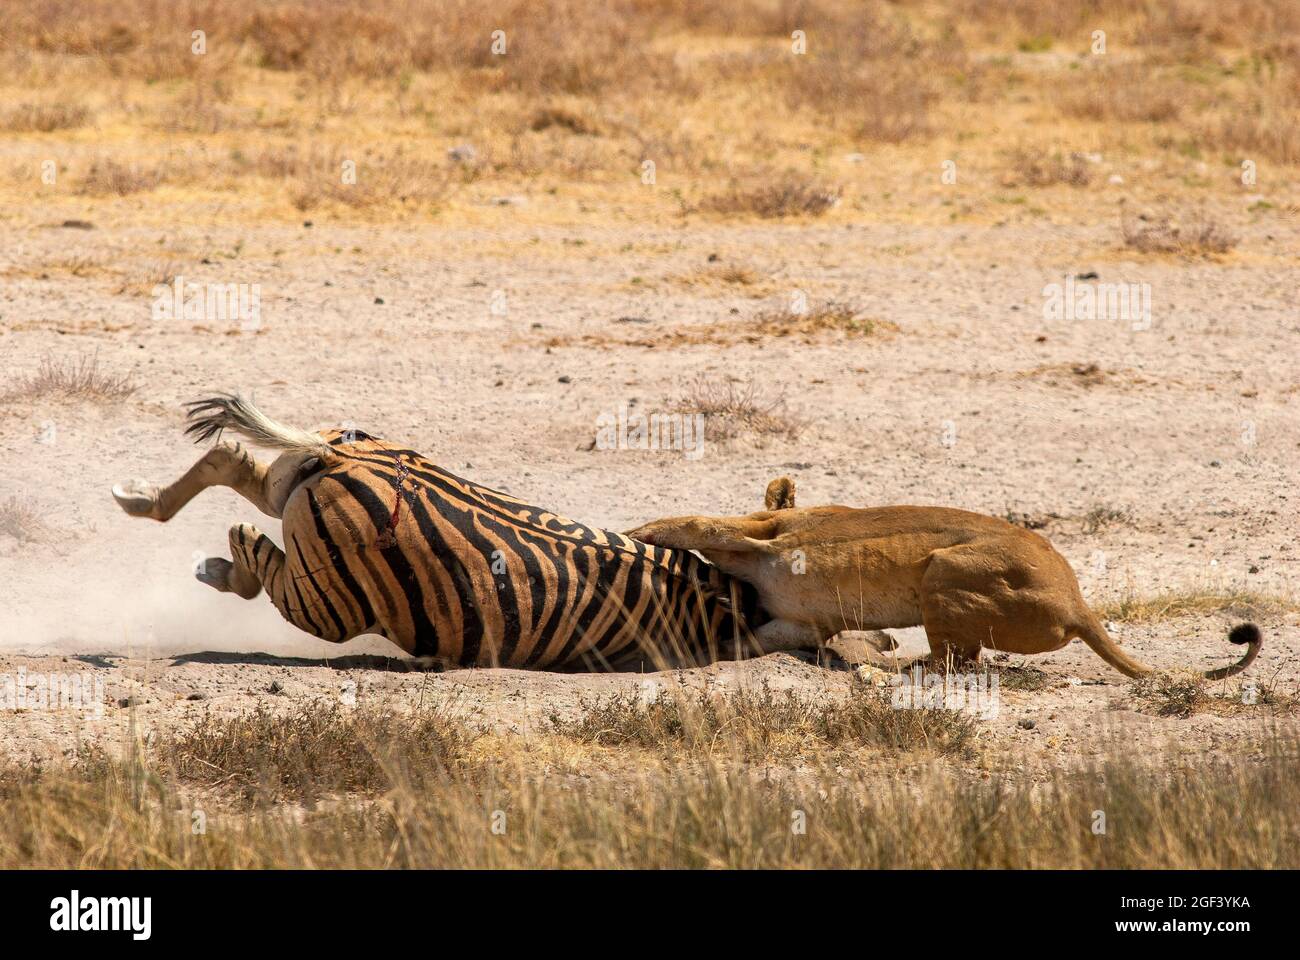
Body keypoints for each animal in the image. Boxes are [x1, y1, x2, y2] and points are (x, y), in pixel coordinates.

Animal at [111, 392, 764, 671]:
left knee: (231, 461)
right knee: (250, 543)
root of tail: (344, 456)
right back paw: (218, 568)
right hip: (328, 605)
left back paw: (142, 500)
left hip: (294, 487)